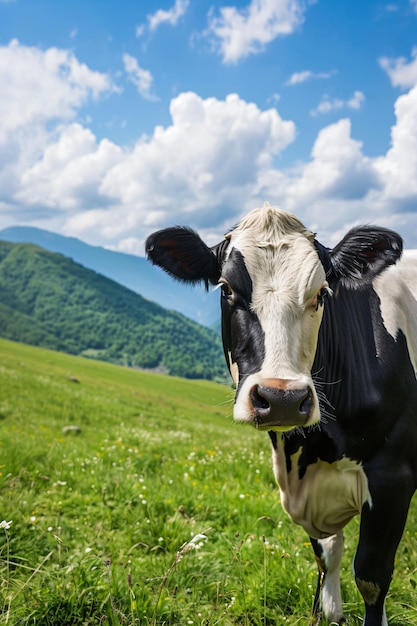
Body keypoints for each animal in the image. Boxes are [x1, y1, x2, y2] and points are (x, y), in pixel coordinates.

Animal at [145, 205, 416, 624]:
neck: (314, 452)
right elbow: (326, 556)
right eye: (226, 289)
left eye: (321, 293)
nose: (282, 397)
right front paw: (329, 612)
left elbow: (371, 578)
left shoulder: (393, 478)